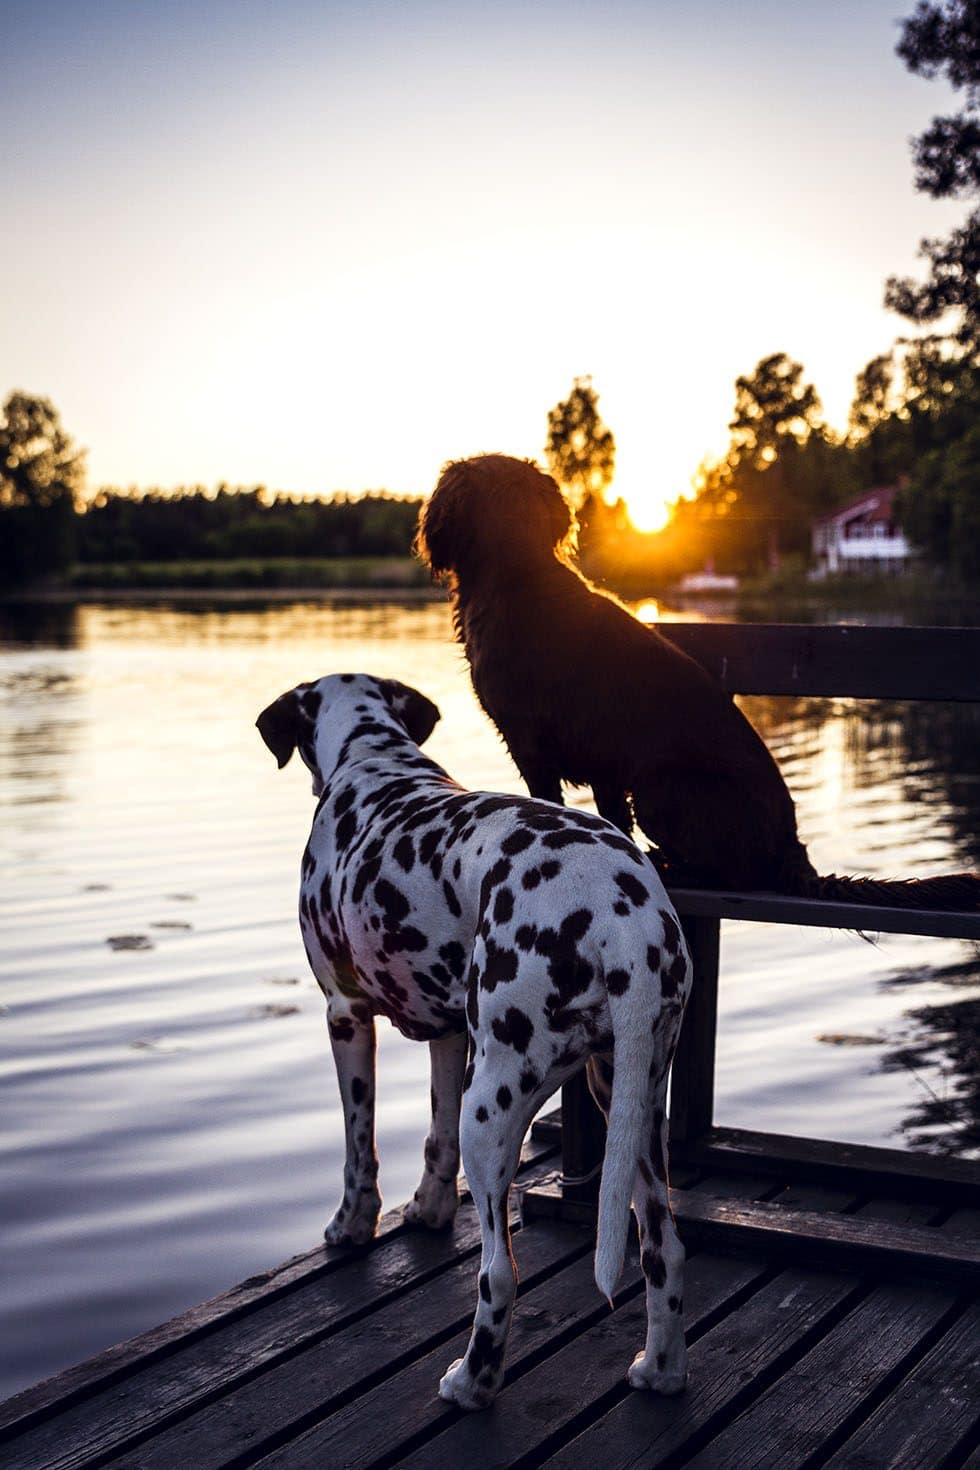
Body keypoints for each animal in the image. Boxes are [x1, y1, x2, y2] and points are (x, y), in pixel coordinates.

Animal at [257, 676, 693, 1411]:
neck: (373, 755)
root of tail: (620, 921)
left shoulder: (345, 1014)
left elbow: (358, 1147)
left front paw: (352, 1225)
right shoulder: (448, 1031)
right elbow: (436, 1141)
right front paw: (429, 1209)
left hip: (493, 1108)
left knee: (499, 1273)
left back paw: (471, 1383)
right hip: (630, 1102)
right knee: (664, 1248)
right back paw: (659, 1370)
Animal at [420, 449, 980, 905]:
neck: (519, 575)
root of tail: (792, 851)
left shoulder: (530, 742)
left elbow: (548, 803)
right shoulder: (605, 764)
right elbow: (609, 822)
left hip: (660, 788)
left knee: (729, 873)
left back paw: (674, 866)